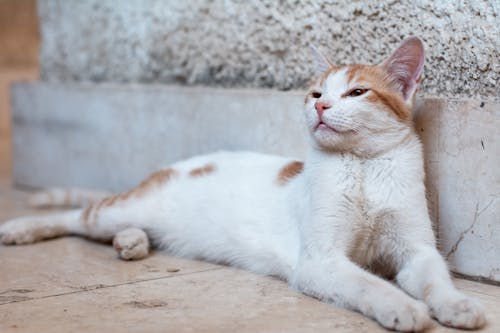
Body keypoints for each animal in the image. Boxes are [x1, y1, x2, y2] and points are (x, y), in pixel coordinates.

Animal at [0, 37, 484, 330]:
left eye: (357, 93)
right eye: (316, 93)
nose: (321, 107)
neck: (361, 167)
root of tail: (172, 166)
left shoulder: (416, 251)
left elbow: (435, 280)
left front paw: (457, 305)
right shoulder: (321, 261)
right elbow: (370, 285)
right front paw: (402, 307)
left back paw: (131, 242)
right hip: (119, 208)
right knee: (77, 216)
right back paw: (21, 229)